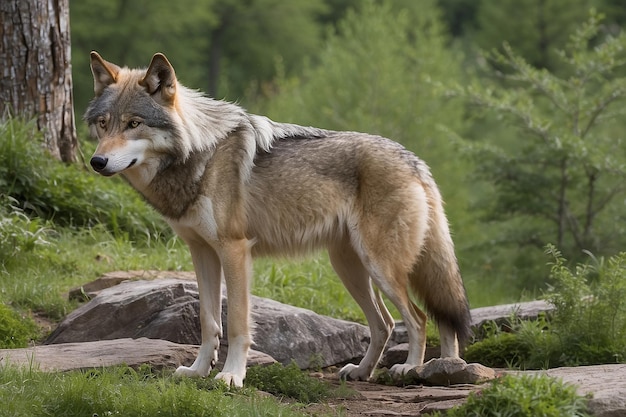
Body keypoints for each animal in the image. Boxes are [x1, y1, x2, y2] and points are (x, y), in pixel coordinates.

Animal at [86, 52, 468, 386]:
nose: (96, 162)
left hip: (381, 268)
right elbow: (208, 322)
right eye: (104, 124)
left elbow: (237, 323)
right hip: (350, 269)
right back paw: (384, 371)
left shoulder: (235, 251)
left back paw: (411, 369)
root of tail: (415, 160)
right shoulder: (202, 252)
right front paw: (197, 371)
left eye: (134, 124)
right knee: (389, 323)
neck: (200, 154)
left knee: (419, 318)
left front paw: (231, 376)